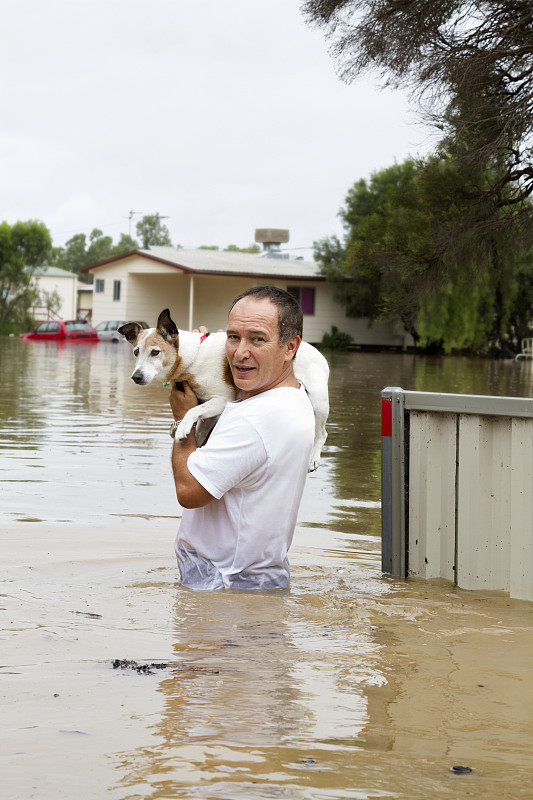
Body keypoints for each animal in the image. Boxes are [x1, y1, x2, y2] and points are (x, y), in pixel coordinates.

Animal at [119, 306, 328, 468]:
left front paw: (183, 427)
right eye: (136, 352)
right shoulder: (210, 412)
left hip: (319, 403)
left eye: (155, 352)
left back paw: (314, 458)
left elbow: (192, 410)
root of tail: (318, 352)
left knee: (322, 433)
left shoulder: (223, 399)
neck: (191, 359)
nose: (136, 377)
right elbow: (199, 431)